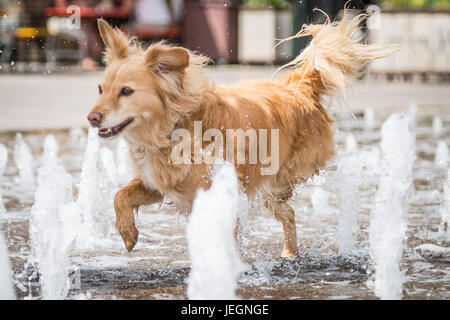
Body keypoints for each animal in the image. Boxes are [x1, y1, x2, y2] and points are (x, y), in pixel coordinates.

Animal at [88, 11, 394, 258]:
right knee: (289, 213)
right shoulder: (159, 184)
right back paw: (289, 253)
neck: (174, 128)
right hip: (267, 193)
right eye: (101, 89)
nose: (92, 118)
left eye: (127, 91)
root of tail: (296, 87)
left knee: (287, 195)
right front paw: (127, 232)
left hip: (280, 177)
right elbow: (120, 195)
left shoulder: (218, 195)